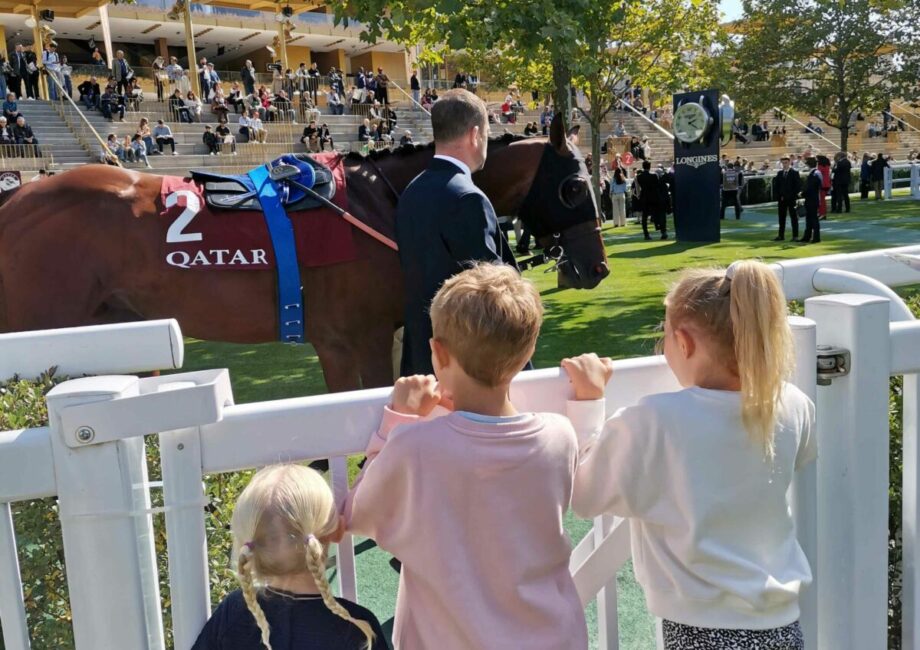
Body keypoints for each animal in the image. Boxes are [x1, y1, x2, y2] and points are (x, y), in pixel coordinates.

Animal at [1, 114, 612, 390]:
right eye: (573, 187)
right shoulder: (358, 339)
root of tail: (14, 199)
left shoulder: (353, 341)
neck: (381, 200)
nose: (596, 267)